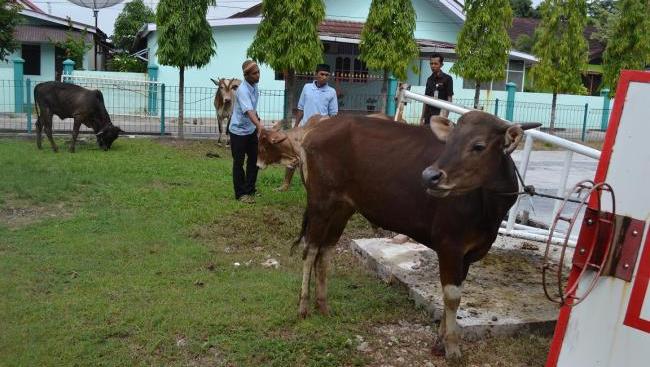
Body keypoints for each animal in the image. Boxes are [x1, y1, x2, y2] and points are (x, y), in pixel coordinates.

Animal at [292, 110, 536, 360]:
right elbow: (451, 296)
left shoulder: (467, 254)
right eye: (449, 141)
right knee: (310, 250)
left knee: (325, 250)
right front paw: (452, 347)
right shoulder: (449, 246)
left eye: (479, 145)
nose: (430, 176)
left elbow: (455, 294)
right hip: (320, 203)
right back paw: (304, 307)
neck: (488, 206)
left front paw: (440, 343)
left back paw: (323, 306)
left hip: (342, 208)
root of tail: (313, 131)